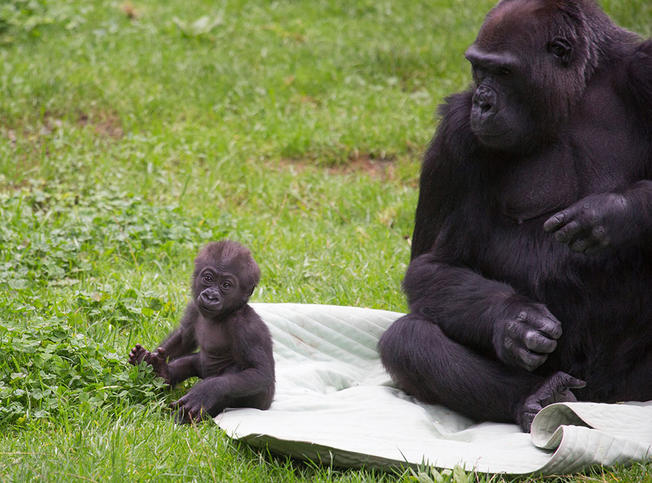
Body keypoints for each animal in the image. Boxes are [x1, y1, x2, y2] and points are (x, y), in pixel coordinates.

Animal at [129, 241, 274, 424]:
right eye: (208, 278)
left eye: (226, 285)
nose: (211, 296)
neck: (224, 314)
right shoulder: (194, 307)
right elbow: (183, 338)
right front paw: (146, 363)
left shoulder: (248, 328)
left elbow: (261, 373)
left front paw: (207, 391)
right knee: (191, 361)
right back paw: (163, 372)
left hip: (258, 403)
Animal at [380, 0, 648, 432]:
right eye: (479, 69)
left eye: (504, 72)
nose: (483, 103)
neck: (576, 94)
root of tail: (604, 399)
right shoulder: (455, 134)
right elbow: (430, 266)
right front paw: (513, 321)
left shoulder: (645, 72)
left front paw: (611, 215)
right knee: (407, 341)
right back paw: (540, 395)